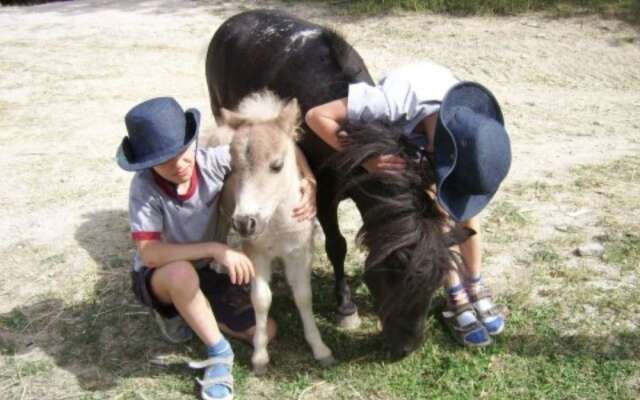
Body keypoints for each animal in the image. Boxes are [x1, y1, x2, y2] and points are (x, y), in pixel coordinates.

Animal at [206, 9, 470, 358]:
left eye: (433, 286)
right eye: (396, 280)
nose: (405, 348)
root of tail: (233, 20)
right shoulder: (323, 196)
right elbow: (337, 245)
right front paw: (345, 306)